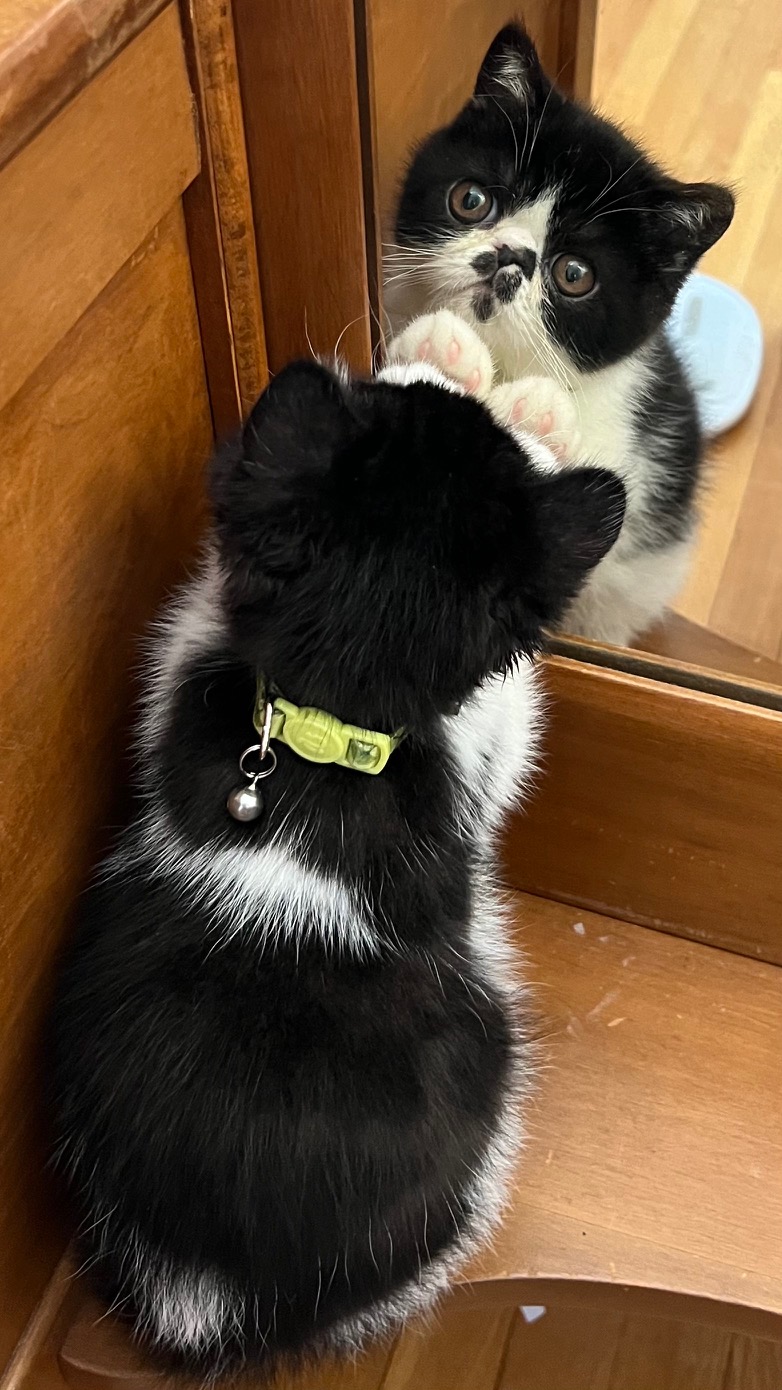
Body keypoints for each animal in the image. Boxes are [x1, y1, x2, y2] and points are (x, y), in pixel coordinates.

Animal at [50, 354, 624, 1382]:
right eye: (405, 398)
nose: (415, 364)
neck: (329, 719)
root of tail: (205, 1301)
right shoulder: (485, 750)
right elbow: (518, 719)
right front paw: (521, 403)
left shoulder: (185, 681)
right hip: (488, 1064)